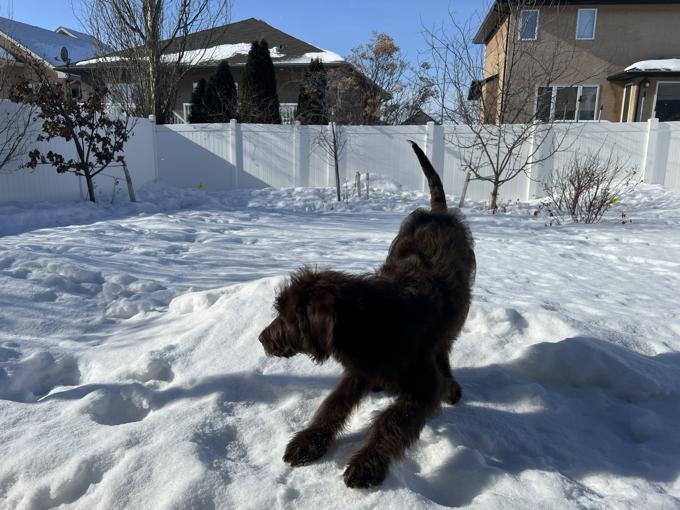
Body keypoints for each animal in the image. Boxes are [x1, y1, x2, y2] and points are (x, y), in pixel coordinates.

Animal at [258, 141, 476, 488]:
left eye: (286, 316)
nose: (261, 338)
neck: (372, 323)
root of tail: (438, 213)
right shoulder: (358, 371)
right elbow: (332, 405)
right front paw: (308, 442)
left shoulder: (421, 388)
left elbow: (393, 422)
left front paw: (367, 464)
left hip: (456, 314)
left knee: (444, 348)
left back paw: (450, 386)